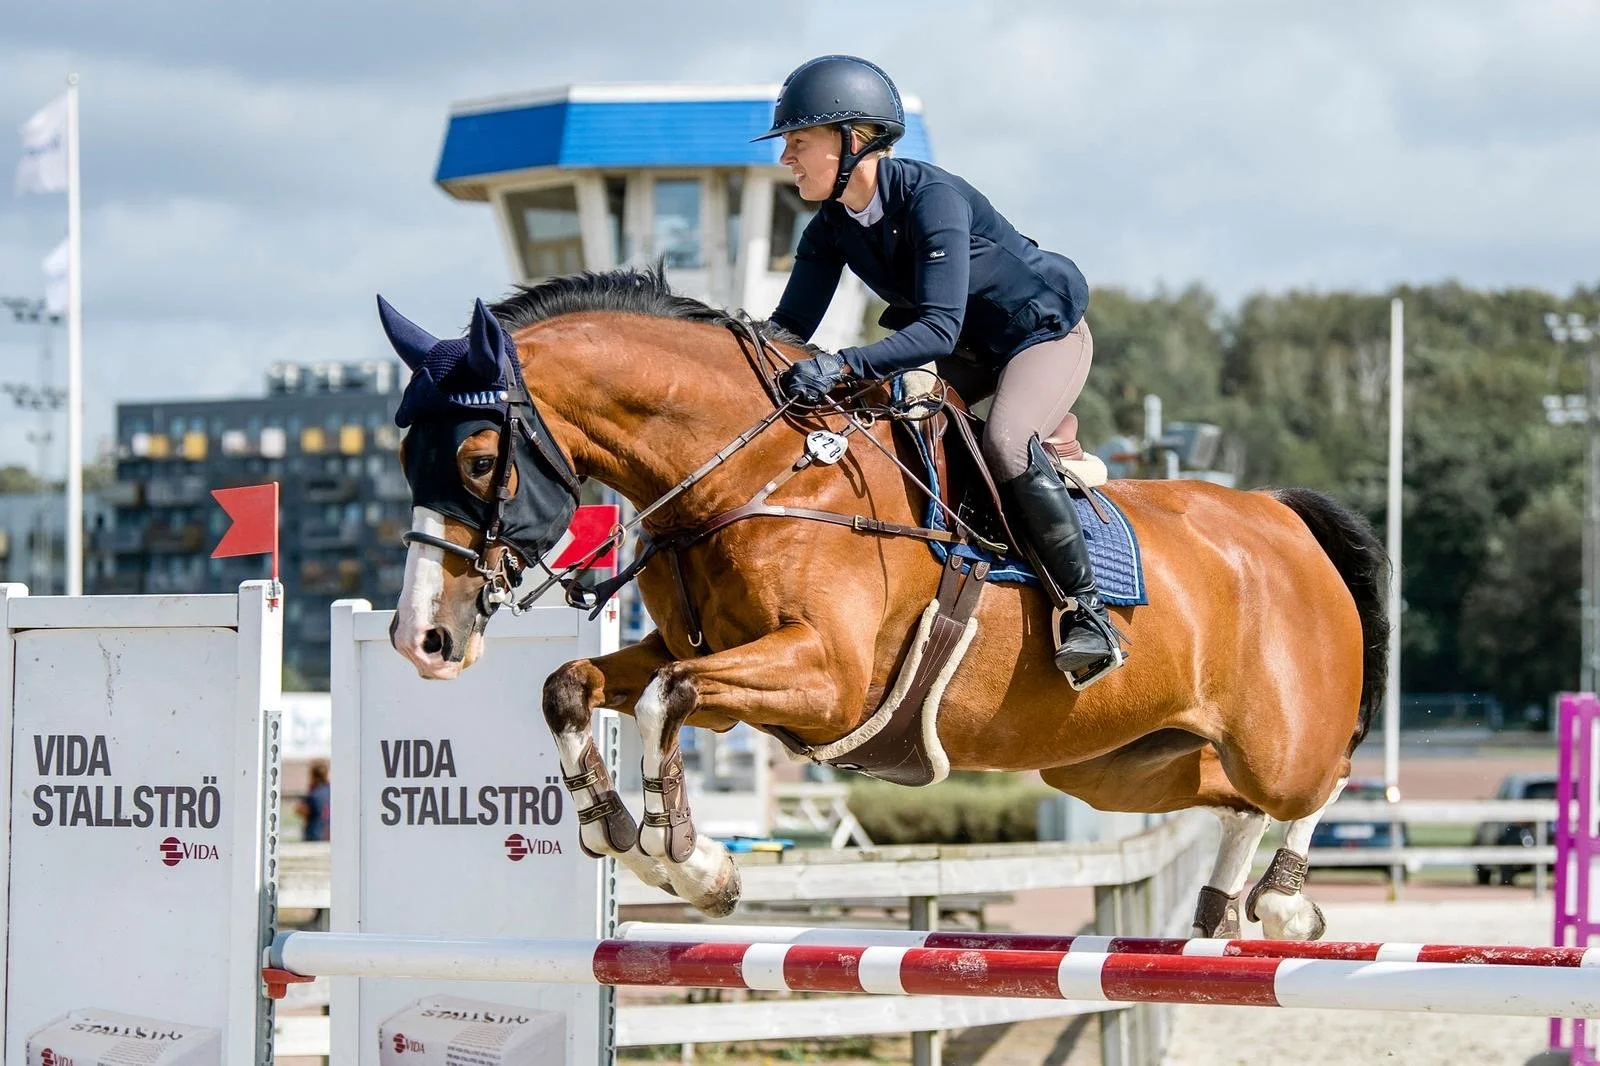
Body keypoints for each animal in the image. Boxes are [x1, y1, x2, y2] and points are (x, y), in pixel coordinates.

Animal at [378, 266, 1389, 942]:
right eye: (403, 459)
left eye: (478, 459)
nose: (423, 638)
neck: (750, 471)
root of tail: (1280, 516)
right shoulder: (698, 651)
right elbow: (571, 684)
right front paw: (617, 832)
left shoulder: (827, 680)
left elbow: (670, 696)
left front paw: (695, 865)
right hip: (1122, 763)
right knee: (1231, 799)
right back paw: (1219, 912)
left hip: (1276, 740)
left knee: (1322, 775)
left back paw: (1284, 903)